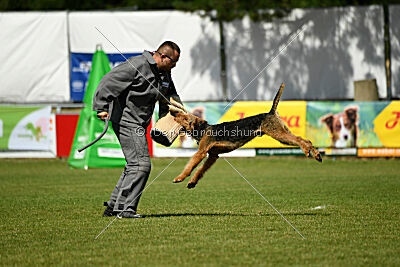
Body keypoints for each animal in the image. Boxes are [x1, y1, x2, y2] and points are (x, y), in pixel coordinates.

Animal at [169, 84, 322, 188]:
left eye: (185, 118)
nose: (174, 114)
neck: (202, 129)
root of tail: (271, 112)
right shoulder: (213, 156)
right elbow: (200, 170)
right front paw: (192, 183)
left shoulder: (201, 152)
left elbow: (190, 166)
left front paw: (179, 178)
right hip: (282, 133)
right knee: (306, 140)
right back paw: (317, 155)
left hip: (279, 134)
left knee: (300, 139)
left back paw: (308, 152)